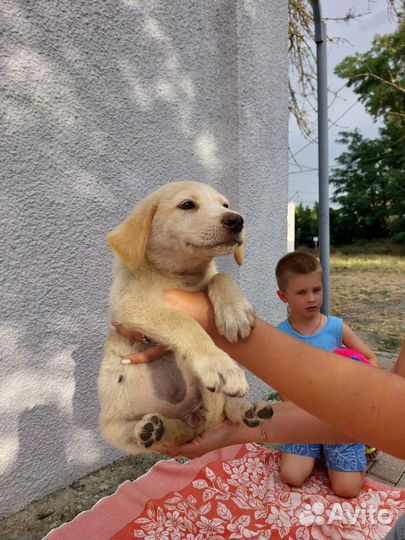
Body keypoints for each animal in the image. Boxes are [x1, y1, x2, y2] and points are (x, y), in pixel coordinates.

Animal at [98, 182, 274, 456]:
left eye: (225, 204)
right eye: (187, 205)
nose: (237, 220)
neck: (180, 275)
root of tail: (196, 422)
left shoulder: (205, 280)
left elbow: (220, 277)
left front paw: (236, 312)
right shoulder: (131, 303)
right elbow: (183, 322)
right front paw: (217, 364)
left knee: (227, 412)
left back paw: (251, 411)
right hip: (114, 428)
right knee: (162, 434)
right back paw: (149, 430)